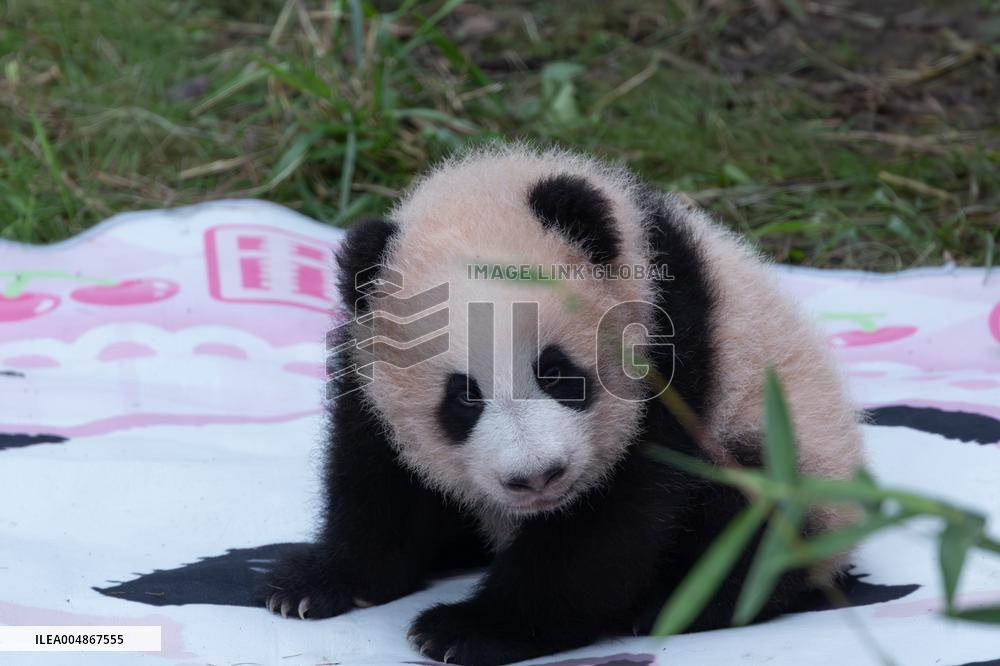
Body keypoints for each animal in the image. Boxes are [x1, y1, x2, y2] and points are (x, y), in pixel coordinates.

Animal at [264, 144, 864, 665]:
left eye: (556, 374)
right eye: (463, 398)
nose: (536, 478)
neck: (487, 189)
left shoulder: (674, 350)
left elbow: (612, 520)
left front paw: (469, 629)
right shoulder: (367, 366)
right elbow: (378, 478)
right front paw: (317, 582)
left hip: (784, 440)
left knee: (755, 524)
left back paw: (670, 604)